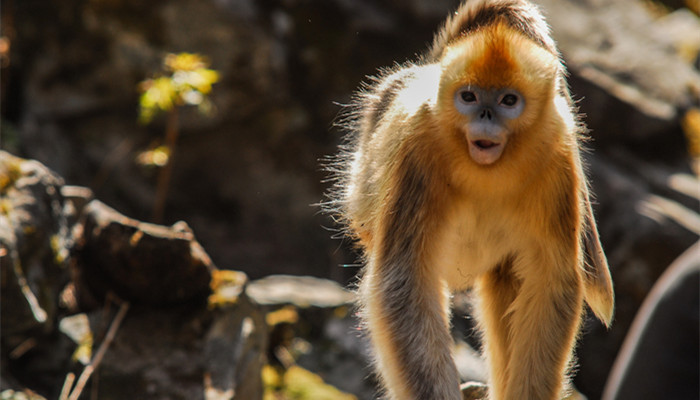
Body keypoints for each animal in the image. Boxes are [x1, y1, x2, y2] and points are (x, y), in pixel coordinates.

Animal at [322, 0, 612, 400]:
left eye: (508, 101)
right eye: (469, 97)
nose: (485, 116)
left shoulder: (558, 161)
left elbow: (552, 283)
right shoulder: (419, 149)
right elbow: (404, 283)